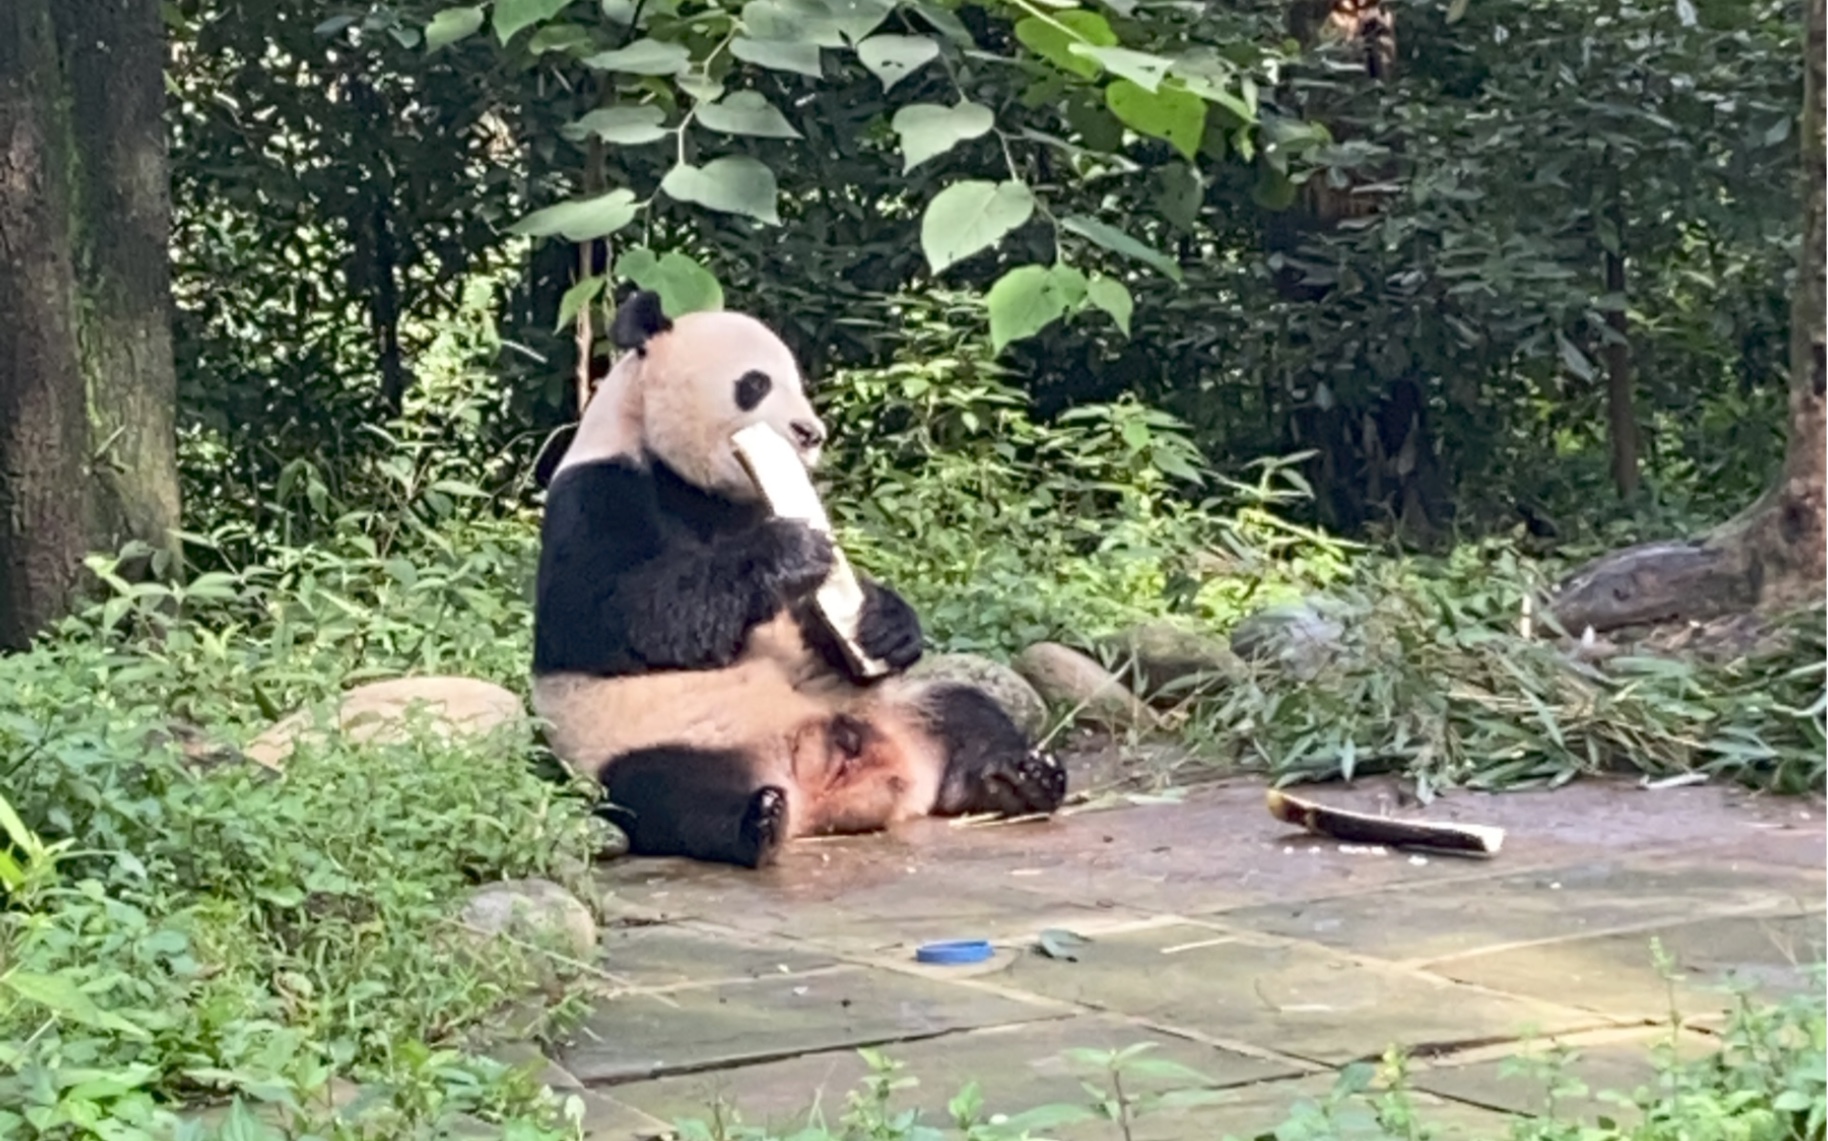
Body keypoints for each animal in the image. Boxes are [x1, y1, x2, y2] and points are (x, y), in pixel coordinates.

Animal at [530, 292, 1067, 863]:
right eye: (755, 383)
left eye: (799, 383)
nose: (811, 434)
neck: (693, 485)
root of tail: (830, 780)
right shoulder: (596, 491)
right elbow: (602, 615)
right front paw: (785, 553)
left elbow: (825, 624)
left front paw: (884, 623)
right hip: (656, 742)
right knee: (663, 791)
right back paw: (757, 820)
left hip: (895, 708)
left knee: (963, 708)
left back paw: (1019, 777)